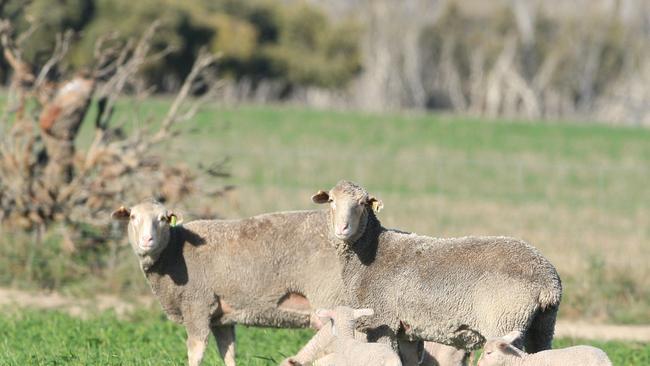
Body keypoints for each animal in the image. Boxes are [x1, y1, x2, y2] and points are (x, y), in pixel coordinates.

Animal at [312, 182, 560, 356]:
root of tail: (547, 282)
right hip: (542, 325)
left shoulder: (381, 321)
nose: (343, 228)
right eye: (331, 200)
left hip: (505, 320)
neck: (372, 249)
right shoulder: (405, 331)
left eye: (363, 203)